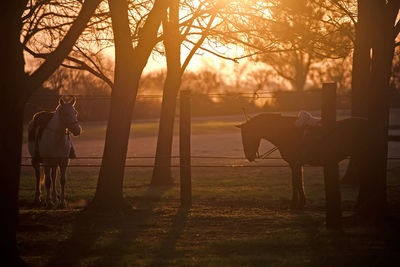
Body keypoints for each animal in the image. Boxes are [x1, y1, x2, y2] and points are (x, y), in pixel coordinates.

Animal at [236, 113, 368, 209]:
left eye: (248, 134)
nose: (249, 156)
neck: (287, 133)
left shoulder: (295, 163)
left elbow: (296, 182)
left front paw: (294, 204)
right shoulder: (296, 164)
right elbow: (299, 182)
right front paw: (302, 203)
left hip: (360, 157)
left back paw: (359, 204)